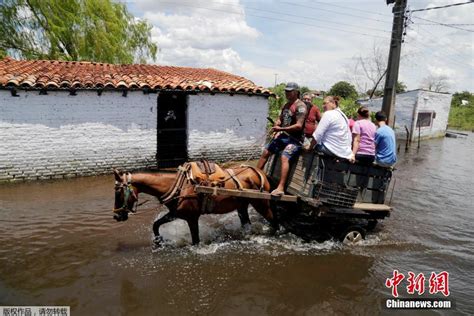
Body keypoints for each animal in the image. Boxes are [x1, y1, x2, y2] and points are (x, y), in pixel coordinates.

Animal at [112, 164, 278, 246]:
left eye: (118, 192)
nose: (116, 216)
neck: (178, 186)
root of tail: (259, 172)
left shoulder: (191, 218)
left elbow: (196, 240)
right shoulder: (176, 213)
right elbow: (156, 224)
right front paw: (159, 242)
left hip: (261, 204)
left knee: (274, 221)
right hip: (242, 206)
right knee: (246, 223)